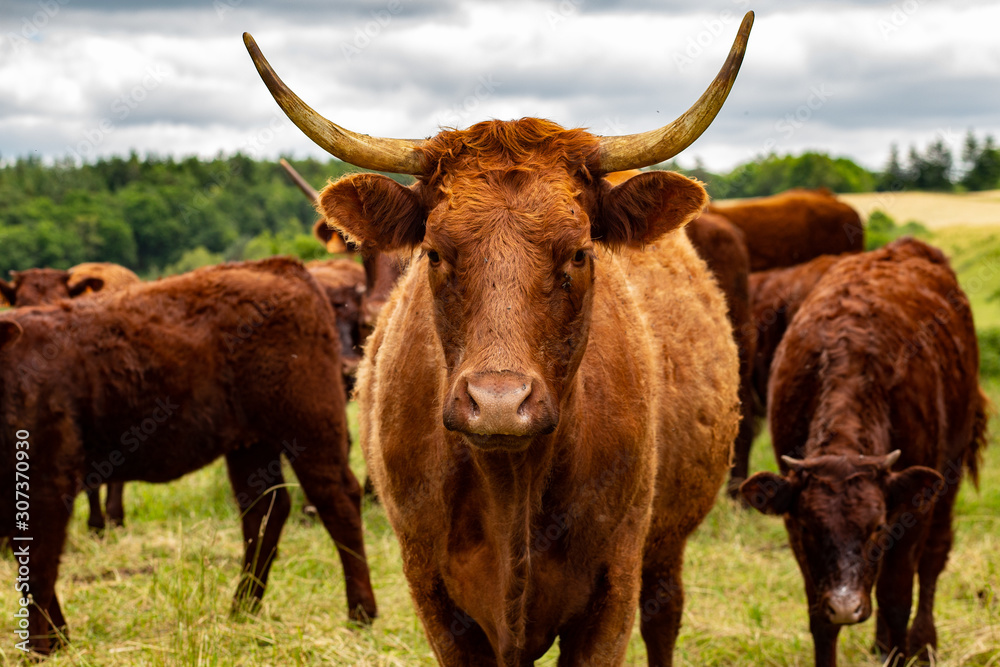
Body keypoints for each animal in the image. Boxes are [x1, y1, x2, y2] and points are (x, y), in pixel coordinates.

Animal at [0, 258, 376, 656]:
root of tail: (281, 267)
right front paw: (57, 640)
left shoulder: (47, 486)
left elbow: (37, 571)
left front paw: (40, 649)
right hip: (251, 446)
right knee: (264, 511)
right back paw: (243, 608)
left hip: (310, 427)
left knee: (338, 502)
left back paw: (360, 613)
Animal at [246, 11, 752, 667]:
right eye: (435, 252)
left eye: (579, 252)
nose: (498, 404)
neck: (510, 485)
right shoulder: (434, 594)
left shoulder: (613, 591)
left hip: (665, 548)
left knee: (664, 615)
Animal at [740, 237, 988, 664]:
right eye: (811, 528)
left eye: (877, 528)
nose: (846, 606)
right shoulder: (794, 525)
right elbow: (820, 619)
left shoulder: (911, 510)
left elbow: (896, 596)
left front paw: (903, 652)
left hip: (950, 471)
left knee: (933, 559)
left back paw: (924, 642)